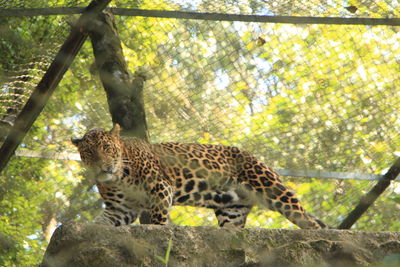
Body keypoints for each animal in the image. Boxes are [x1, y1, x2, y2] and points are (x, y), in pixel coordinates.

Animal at [72, 124, 328, 229]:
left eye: (107, 148)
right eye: (89, 153)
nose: (103, 166)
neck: (118, 177)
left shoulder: (160, 189)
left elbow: (158, 220)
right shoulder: (120, 209)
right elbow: (102, 222)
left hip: (271, 187)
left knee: (309, 221)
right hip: (232, 210)